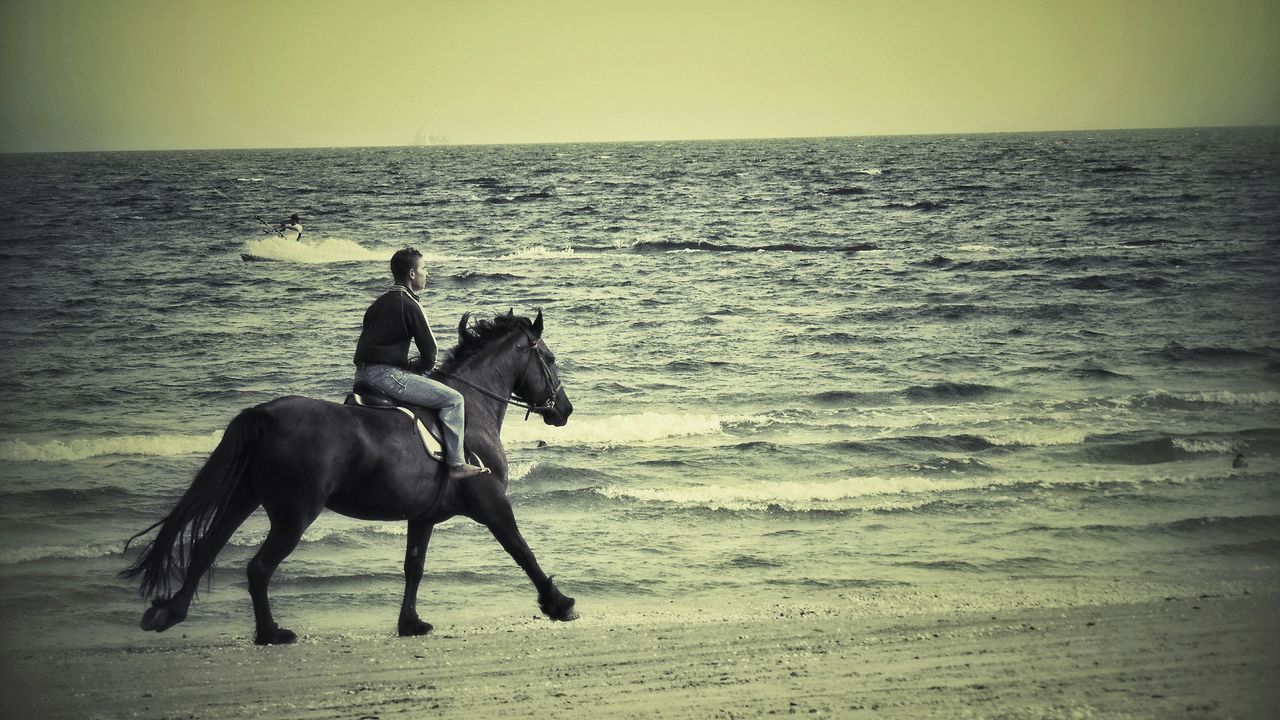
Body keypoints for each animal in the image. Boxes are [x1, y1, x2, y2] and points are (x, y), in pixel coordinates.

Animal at [123, 311, 576, 640]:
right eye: (551, 359)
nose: (565, 410)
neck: (473, 410)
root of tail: (266, 414)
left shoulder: (423, 517)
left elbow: (414, 567)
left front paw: (410, 623)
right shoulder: (492, 504)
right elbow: (521, 549)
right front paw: (558, 603)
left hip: (243, 497)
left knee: (206, 548)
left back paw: (169, 612)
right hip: (293, 516)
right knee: (258, 567)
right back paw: (270, 633)